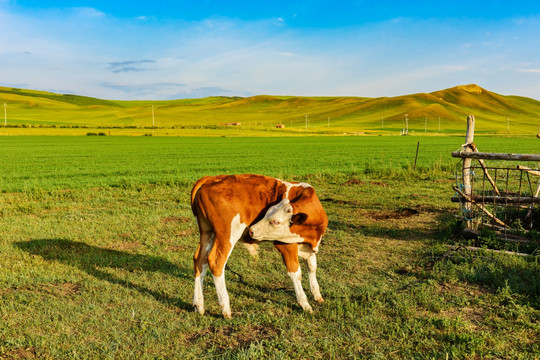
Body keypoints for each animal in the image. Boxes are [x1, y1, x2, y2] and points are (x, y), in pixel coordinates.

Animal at [191, 174, 324, 318]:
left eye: (275, 221)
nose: (251, 230)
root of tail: (211, 179)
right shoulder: (285, 245)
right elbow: (296, 273)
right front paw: (304, 303)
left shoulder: (309, 247)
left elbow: (312, 267)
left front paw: (317, 295)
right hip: (227, 235)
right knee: (216, 263)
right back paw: (226, 309)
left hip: (207, 232)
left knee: (200, 260)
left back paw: (199, 305)